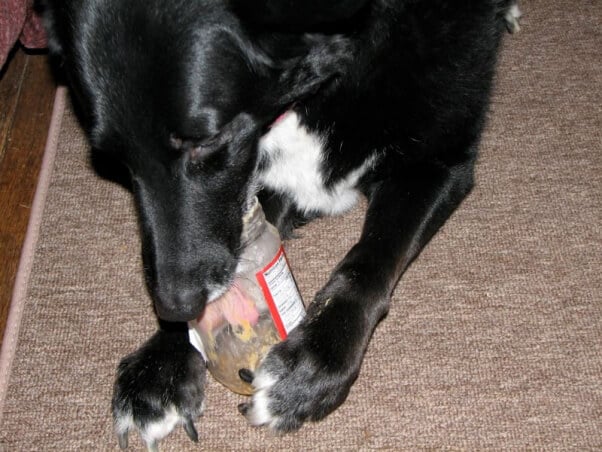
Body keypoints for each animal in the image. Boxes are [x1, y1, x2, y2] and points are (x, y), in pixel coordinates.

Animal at [38, 0, 516, 444]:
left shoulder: (438, 164)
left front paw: (315, 363)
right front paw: (162, 364)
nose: (175, 307)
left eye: (206, 140)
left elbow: (369, 262)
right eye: (114, 159)